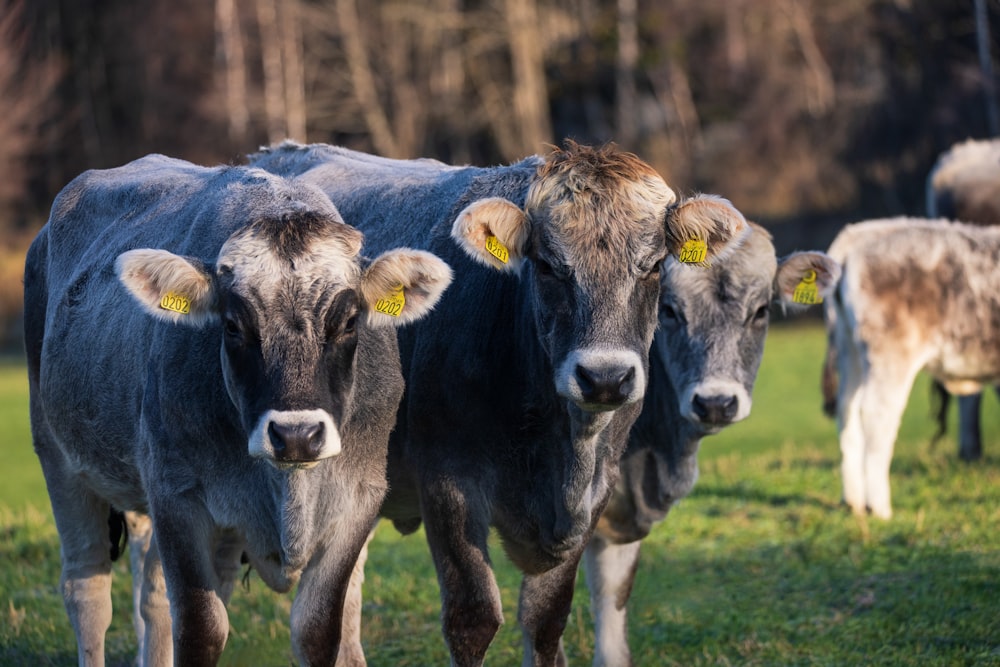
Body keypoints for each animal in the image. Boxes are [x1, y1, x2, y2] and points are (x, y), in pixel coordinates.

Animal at [21, 153, 452, 667]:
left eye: (349, 322)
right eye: (232, 325)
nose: (297, 436)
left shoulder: (358, 500)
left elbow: (317, 631)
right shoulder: (178, 497)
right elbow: (200, 629)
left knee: (152, 596)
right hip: (58, 458)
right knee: (87, 591)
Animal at [248, 140, 752, 664]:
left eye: (653, 267)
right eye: (547, 265)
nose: (605, 377)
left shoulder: (597, 491)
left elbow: (546, 621)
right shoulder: (447, 481)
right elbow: (473, 619)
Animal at [816, 217, 1000, 520]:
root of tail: (862, 233)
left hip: (850, 349)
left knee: (847, 411)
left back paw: (853, 502)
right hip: (891, 353)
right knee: (877, 416)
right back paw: (878, 507)